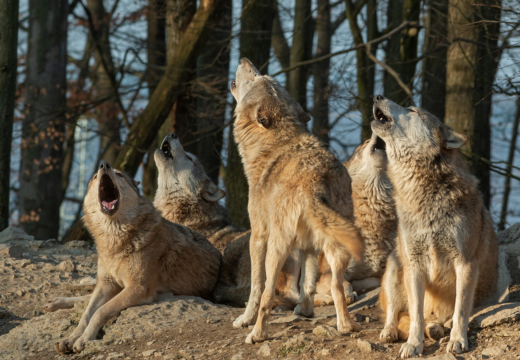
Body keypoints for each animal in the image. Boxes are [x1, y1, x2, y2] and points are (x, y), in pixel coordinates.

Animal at [55, 164, 221, 354]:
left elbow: (99, 311)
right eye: (95, 176)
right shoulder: (106, 284)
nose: (104, 165)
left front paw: (83, 339)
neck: (114, 238)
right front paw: (70, 338)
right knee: (86, 297)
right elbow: (86, 314)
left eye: (119, 174)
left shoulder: (138, 288)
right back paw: (55, 302)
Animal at [230, 57, 364, 344]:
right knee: (337, 285)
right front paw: (304, 311)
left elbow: (256, 288)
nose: (245, 59)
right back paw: (346, 326)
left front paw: (245, 320)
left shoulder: (258, 235)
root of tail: (316, 180)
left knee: (268, 293)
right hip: (337, 245)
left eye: (257, 78)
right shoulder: (309, 245)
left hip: (278, 248)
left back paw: (257, 334)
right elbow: (308, 282)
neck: (271, 142)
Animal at [372, 95, 498, 358]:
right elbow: (416, 315)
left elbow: (461, 310)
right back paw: (391, 332)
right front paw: (414, 344)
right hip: (395, 266)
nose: (378, 96)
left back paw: (438, 329)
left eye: (411, 110)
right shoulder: (414, 264)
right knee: (394, 312)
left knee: (438, 320)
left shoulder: (465, 263)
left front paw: (458, 340)